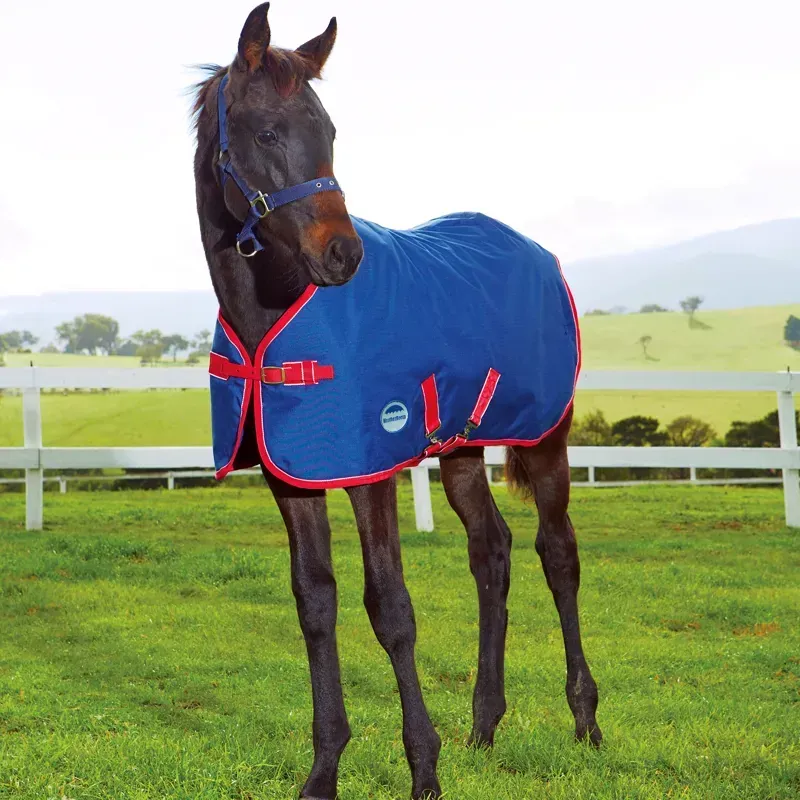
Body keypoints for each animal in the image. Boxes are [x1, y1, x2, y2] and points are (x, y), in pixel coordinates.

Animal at [191, 4, 601, 798]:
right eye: (267, 133)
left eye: (330, 131)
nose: (343, 254)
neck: (272, 317)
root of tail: (539, 253)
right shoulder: (294, 478)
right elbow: (315, 603)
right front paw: (324, 771)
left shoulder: (370, 472)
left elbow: (390, 608)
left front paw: (423, 770)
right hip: (464, 448)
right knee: (491, 551)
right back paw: (484, 725)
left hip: (546, 439)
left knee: (557, 552)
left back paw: (586, 721)